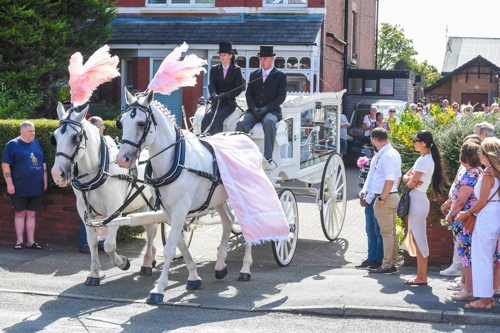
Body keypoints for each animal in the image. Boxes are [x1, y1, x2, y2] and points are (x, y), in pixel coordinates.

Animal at [50, 44, 160, 286]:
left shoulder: (114, 211)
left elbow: (109, 244)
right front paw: (93, 274)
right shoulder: (85, 212)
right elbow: (93, 243)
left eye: (75, 137)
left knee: (151, 228)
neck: (97, 173)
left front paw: (123, 262)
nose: (57, 174)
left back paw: (147, 263)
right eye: (54, 137)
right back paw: (153, 257)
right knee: (150, 226)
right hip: (142, 201)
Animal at [114, 88, 252, 304]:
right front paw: (194, 276)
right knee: (228, 221)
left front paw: (158, 289)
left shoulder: (181, 209)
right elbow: (179, 243)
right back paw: (220, 265)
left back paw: (246, 269)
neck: (176, 159)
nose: (122, 159)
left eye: (141, 123)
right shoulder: (168, 210)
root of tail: (244, 137)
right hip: (218, 198)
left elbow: (170, 248)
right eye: (121, 122)